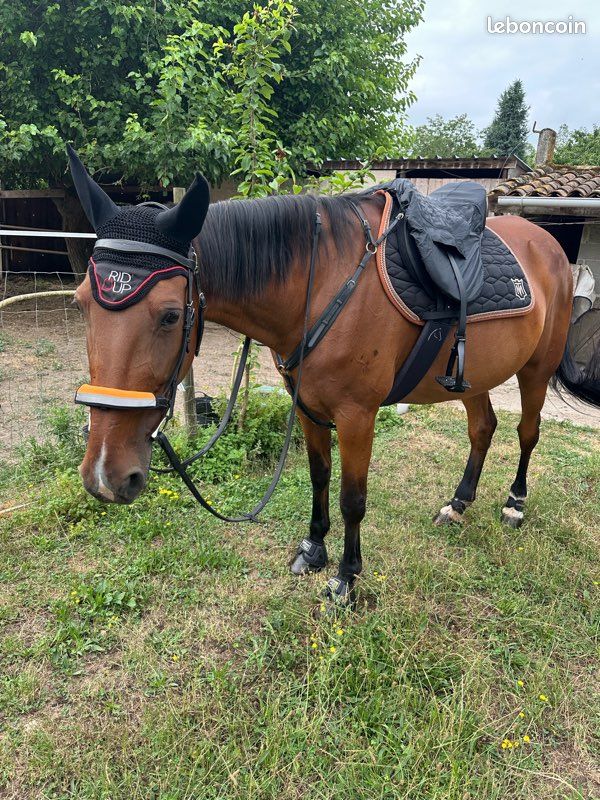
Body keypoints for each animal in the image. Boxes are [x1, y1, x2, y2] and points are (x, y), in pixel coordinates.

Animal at [67, 149, 600, 605]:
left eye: (171, 315)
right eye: (80, 302)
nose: (105, 476)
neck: (322, 281)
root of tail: (547, 243)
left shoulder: (357, 416)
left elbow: (352, 499)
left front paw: (346, 579)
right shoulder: (307, 407)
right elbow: (319, 478)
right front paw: (314, 551)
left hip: (535, 371)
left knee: (527, 433)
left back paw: (514, 503)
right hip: (474, 377)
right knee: (483, 429)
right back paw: (458, 504)